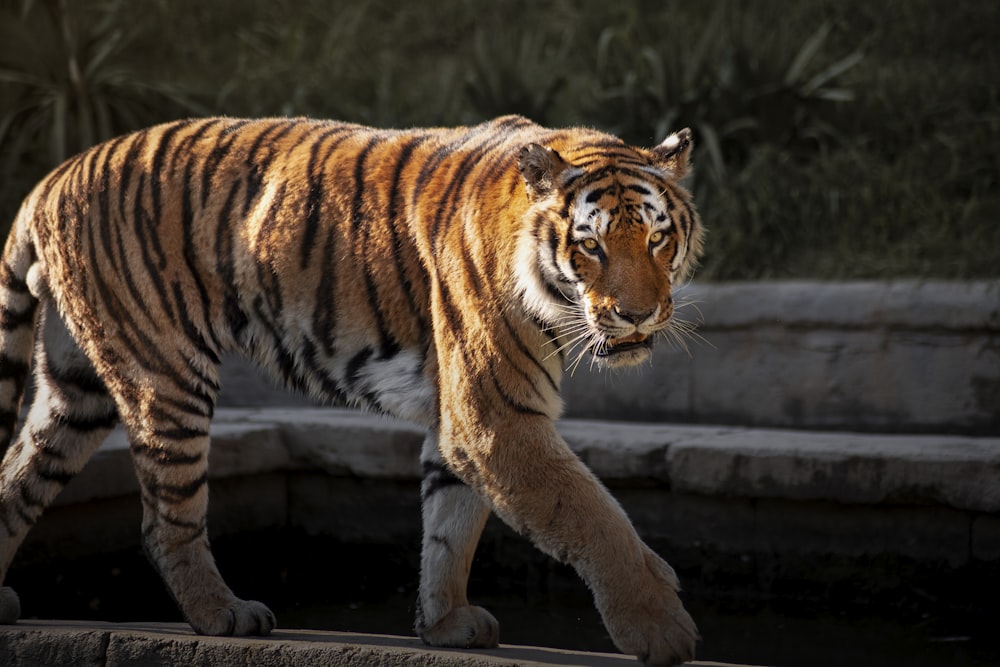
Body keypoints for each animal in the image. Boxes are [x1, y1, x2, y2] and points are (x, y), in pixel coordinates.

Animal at [0, 116, 704, 667]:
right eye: (591, 246)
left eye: (656, 237)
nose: (639, 316)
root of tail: (50, 178)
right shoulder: (494, 418)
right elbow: (592, 515)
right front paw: (660, 627)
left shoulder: (465, 422)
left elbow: (451, 526)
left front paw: (446, 624)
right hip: (165, 376)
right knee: (163, 519)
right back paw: (225, 614)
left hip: (75, 391)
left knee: (19, 474)